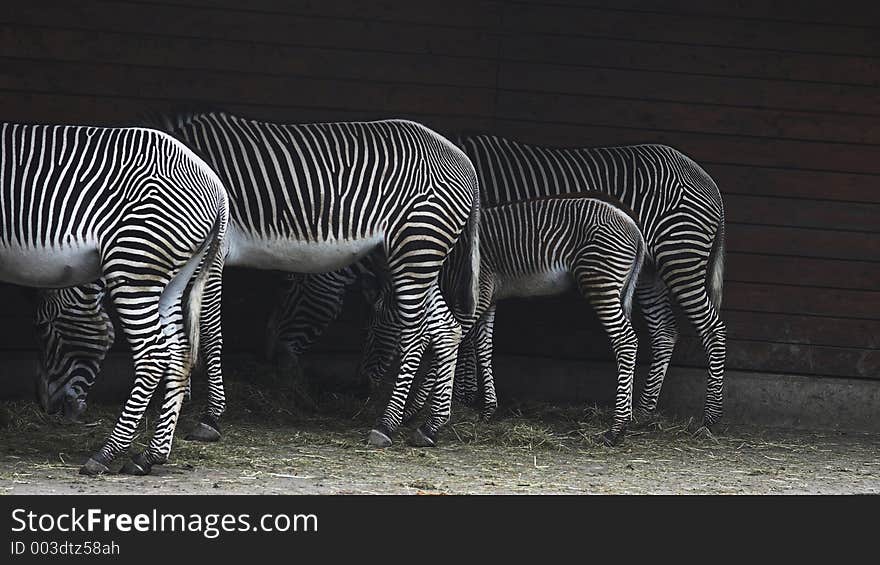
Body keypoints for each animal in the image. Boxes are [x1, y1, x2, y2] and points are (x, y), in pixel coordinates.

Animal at [0, 121, 230, 474]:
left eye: (40, 327)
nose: (45, 404)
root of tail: (217, 188)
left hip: (134, 262)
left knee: (153, 356)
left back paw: (106, 454)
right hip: (174, 275)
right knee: (179, 354)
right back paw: (149, 456)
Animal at [34, 110, 482, 448]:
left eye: (47, 327)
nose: (48, 407)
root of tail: (462, 158)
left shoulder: (214, 252)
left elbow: (208, 327)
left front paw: (209, 417)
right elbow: (184, 325)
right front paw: (179, 400)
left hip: (416, 248)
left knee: (421, 330)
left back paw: (389, 424)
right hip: (404, 254)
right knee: (446, 328)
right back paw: (427, 425)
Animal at [360, 194, 644, 446]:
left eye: (375, 326)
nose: (367, 384)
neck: (450, 258)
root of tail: (634, 227)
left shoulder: (479, 294)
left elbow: (442, 339)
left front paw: (414, 412)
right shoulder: (489, 298)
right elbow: (484, 347)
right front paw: (488, 409)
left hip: (599, 281)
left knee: (626, 341)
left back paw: (616, 429)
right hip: (614, 286)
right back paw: (624, 422)